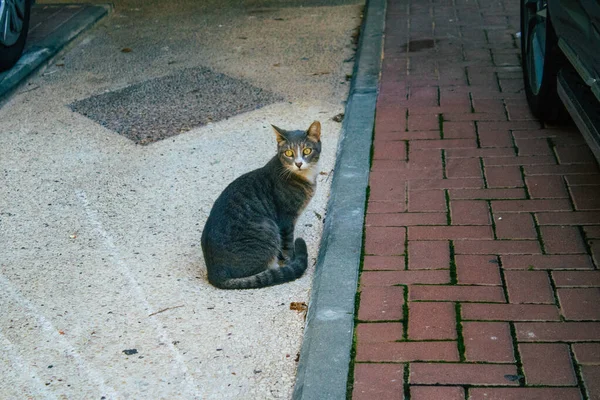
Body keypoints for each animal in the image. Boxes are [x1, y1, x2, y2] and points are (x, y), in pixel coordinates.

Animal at [200, 120, 324, 290]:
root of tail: (215, 274)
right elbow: (287, 245)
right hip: (268, 226)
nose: (298, 163)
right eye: (289, 153)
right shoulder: (286, 220)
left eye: (307, 150)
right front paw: (290, 261)